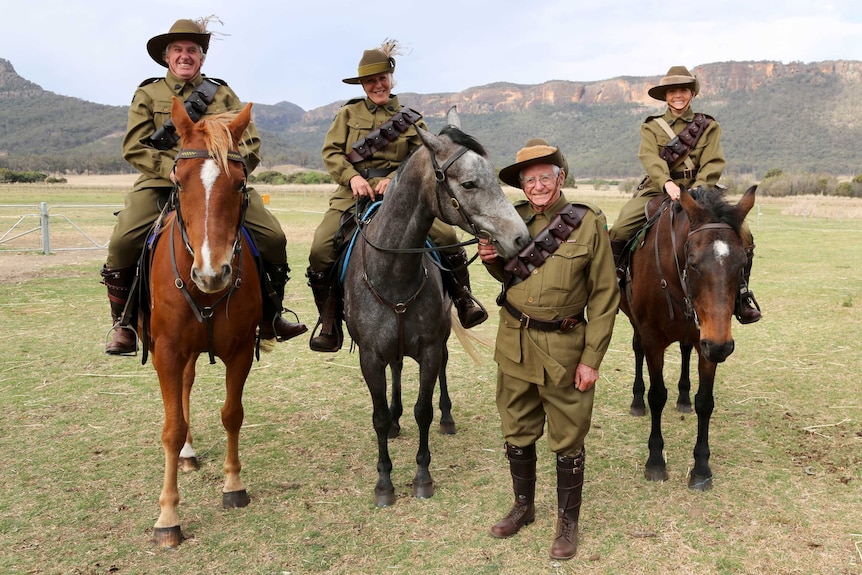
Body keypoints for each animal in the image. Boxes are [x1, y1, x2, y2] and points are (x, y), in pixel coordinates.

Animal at [344, 108, 532, 504]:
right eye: (470, 183)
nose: (520, 238)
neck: (394, 273)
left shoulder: (429, 349)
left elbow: (424, 410)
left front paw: (422, 476)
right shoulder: (370, 356)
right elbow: (378, 416)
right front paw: (384, 482)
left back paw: (446, 418)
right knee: (397, 369)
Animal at [620, 184, 756, 490]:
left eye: (744, 261)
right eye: (693, 264)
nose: (720, 347)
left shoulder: (710, 339)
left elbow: (705, 401)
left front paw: (702, 467)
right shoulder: (652, 339)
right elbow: (657, 395)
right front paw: (655, 461)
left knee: (684, 351)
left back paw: (683, 398)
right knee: (637, 351)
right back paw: (637, 402)